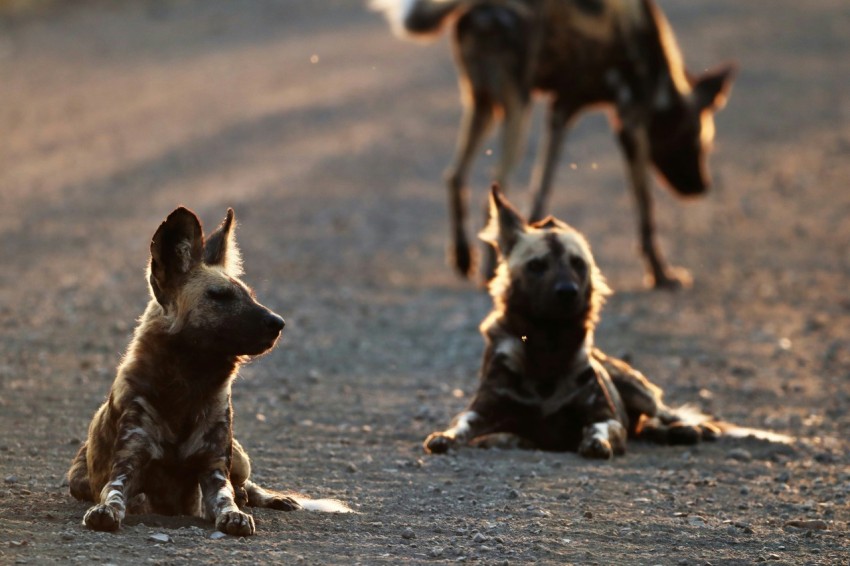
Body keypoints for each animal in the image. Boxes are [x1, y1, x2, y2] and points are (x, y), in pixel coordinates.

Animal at [64, 206, 346, 536]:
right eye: (219, 296)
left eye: (250, 295)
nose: (279, 323)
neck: (187, 385)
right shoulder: (127, 464)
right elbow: (115, 493)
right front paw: (108, 510)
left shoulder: (214, 470)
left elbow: (226, 498)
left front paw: (236, 515)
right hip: (78, 481)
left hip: (239, 459)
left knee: (247, 485)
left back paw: (270, 498)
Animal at [374, 0, 732, 288]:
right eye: (701, 143)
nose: (702, 187)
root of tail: (480, 9)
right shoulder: (630, 124)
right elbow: (646, 210)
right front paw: (661, 275)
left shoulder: (561, 112)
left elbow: (540, 190)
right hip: (517, 109)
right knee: (491, 187)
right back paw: (489, 273)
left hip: (483, 105)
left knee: (455, 175)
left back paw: (464, 259)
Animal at [422, 189, 788, 460]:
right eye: (537, 265)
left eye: (578, 264)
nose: (567, 292)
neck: (546, 349)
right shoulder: (482, 412)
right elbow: (460, 426)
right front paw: (444, 437)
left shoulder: (605, 415)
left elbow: (600, 429)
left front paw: (595, 443)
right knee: (645, 427)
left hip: (638, 391)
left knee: (662, 414)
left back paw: (688, 430)